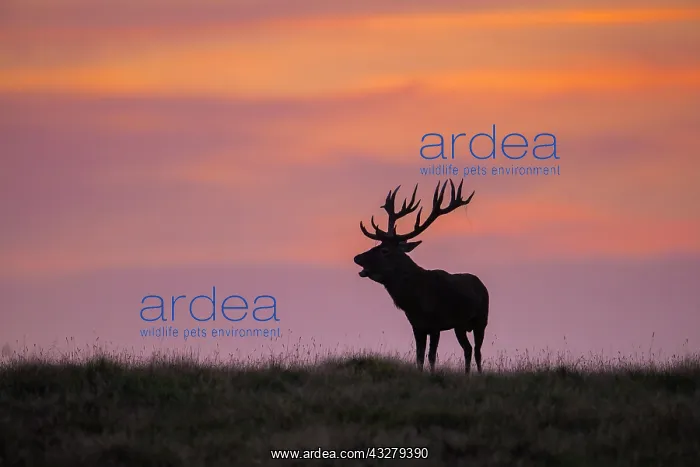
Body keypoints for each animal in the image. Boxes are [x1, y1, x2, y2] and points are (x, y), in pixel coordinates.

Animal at [353, 179, 489, 374]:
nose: (357, 257)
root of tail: (481, 284)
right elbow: (419, 357)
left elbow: (431, 356)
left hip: (481, 319)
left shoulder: (436, 323)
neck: (415, 302)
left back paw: (477, 374)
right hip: (459, 326)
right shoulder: (417, 325)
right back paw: (466, 374)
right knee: (468, 349)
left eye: (384, 250)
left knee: (477, 350)